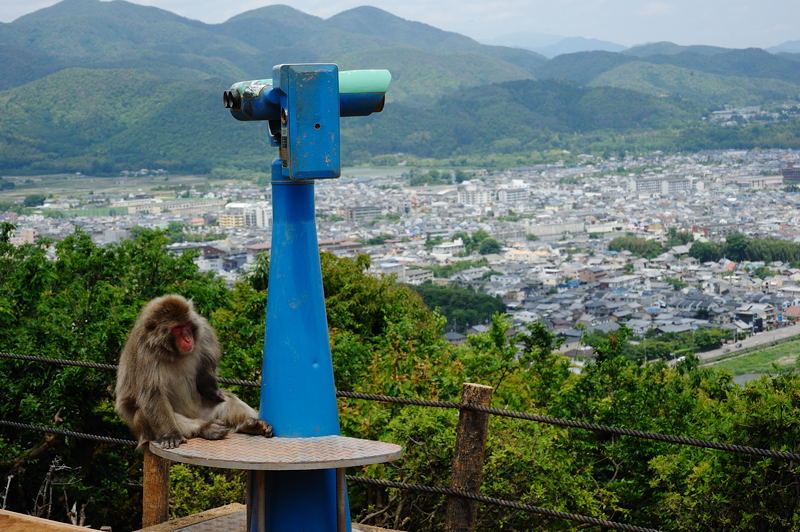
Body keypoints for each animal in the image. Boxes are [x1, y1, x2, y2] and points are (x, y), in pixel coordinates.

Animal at [114, 296, 272, 448]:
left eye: (187, 326)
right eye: (177, 328)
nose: (188, 338)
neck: (173, 352)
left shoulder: (203, 331)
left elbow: (206, 369)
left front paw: (212, 390)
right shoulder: (145, 353)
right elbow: (152, 394)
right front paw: (171, 435)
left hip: (208, 411)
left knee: (228, 401)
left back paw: (251, 425)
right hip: (144, 430)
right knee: (142, 413)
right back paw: (205, 428)